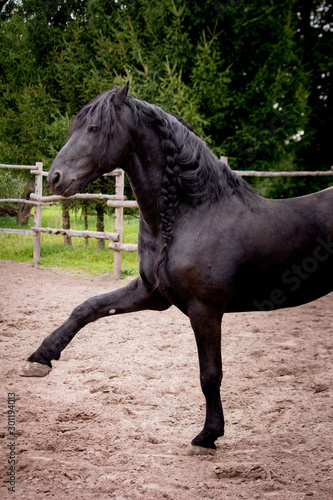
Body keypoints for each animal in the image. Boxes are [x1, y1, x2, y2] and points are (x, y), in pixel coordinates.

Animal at [21, 84, 332, 456]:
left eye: (94, 129)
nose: (56, 178)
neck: (191, 215)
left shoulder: (205, 311)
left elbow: (210, 374)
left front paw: (207, 436)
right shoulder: (152, 294)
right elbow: (87, 308)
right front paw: (40, 358)